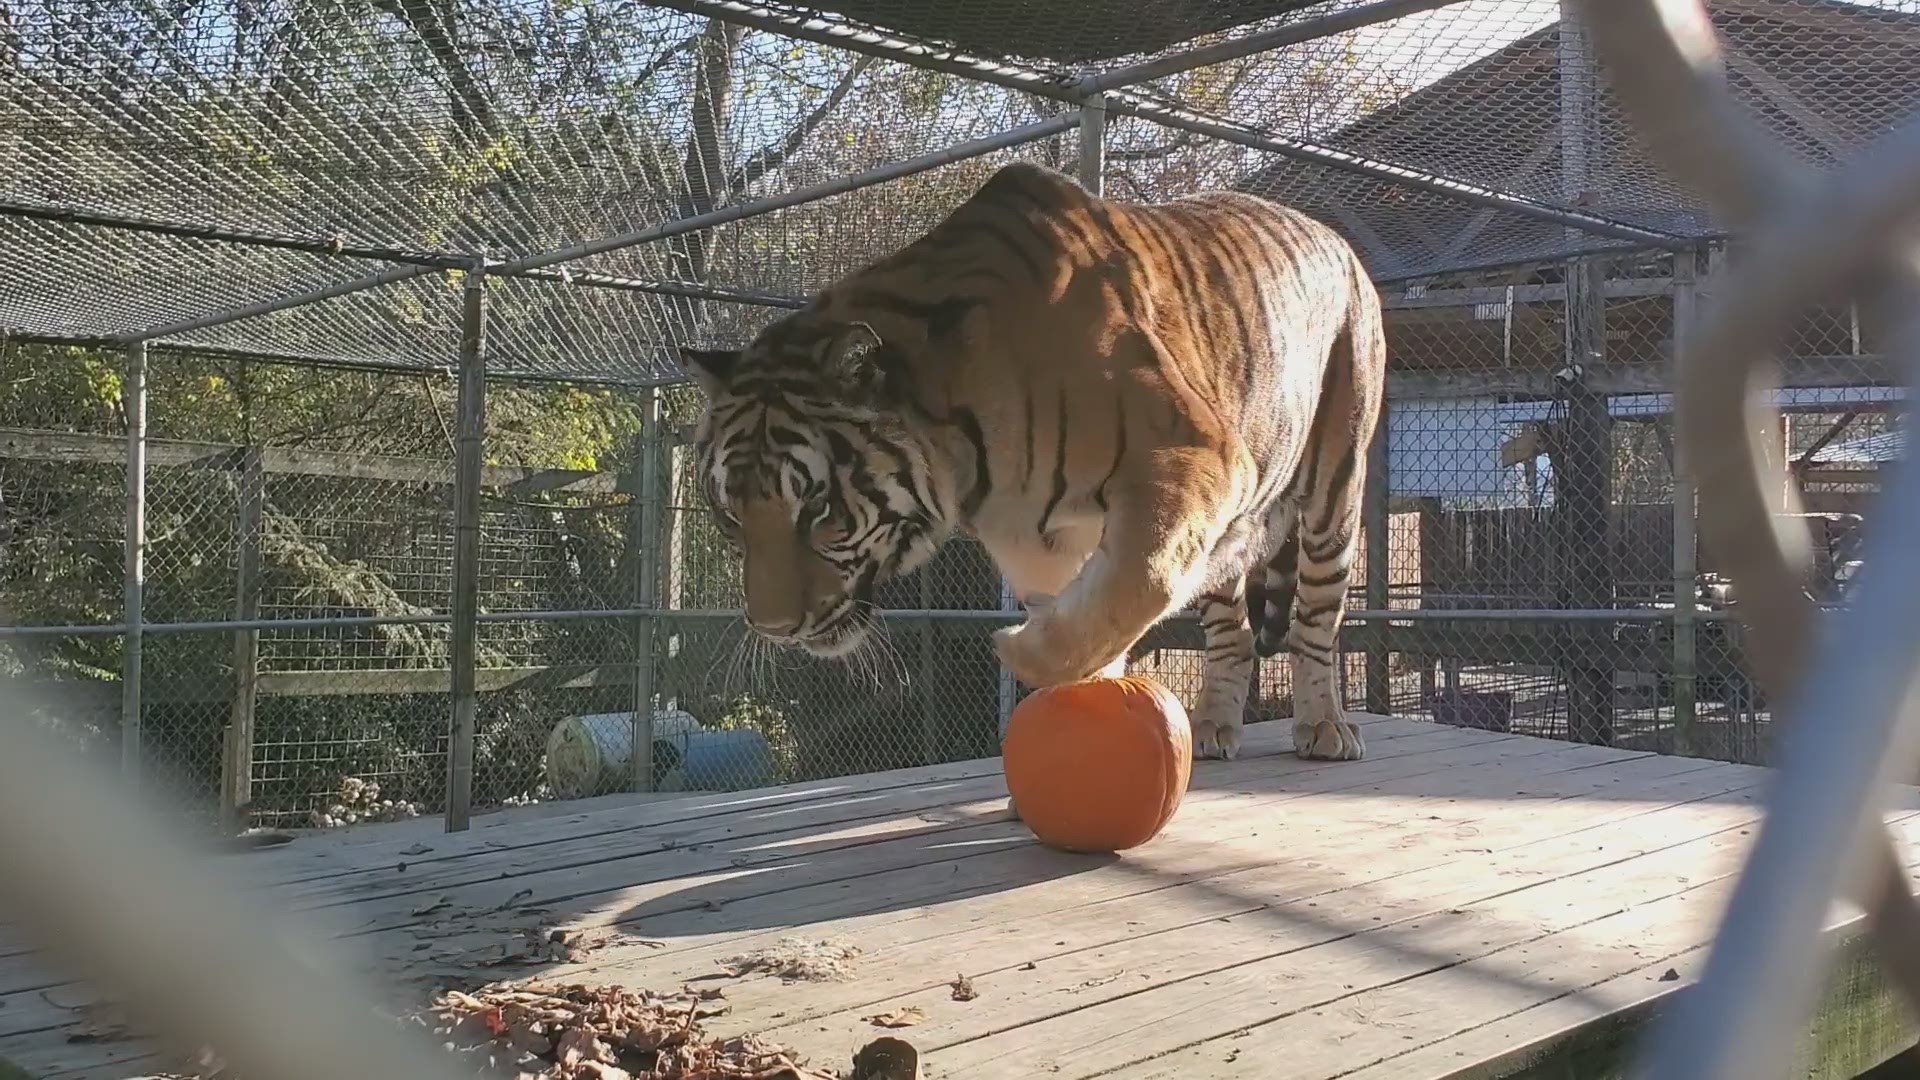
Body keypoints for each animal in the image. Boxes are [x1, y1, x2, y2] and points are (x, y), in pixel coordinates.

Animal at [683, 164, 1390, 760]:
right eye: (729, 516)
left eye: (819, 507)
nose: (774, 629)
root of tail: (1333, 236)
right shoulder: (1033, 535)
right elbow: (1094, 613)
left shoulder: (1192, 456)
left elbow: (1138, 582)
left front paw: (1023, 653)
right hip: (1229, 542)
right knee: (1234, 632)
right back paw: (1215, 725)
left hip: (1334, 487)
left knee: (1315, 619)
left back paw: (1325, 727)